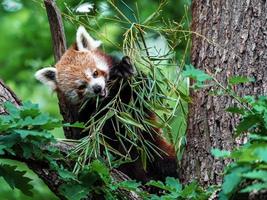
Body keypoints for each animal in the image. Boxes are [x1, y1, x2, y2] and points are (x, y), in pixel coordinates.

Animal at [35, 26, 178, 183]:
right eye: (81, 87)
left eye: (95, 73)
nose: (97, 88)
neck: (110, 97)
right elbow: (87, 130)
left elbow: (143, 92)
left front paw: (123, 69)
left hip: (153, 145)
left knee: (165, 161)